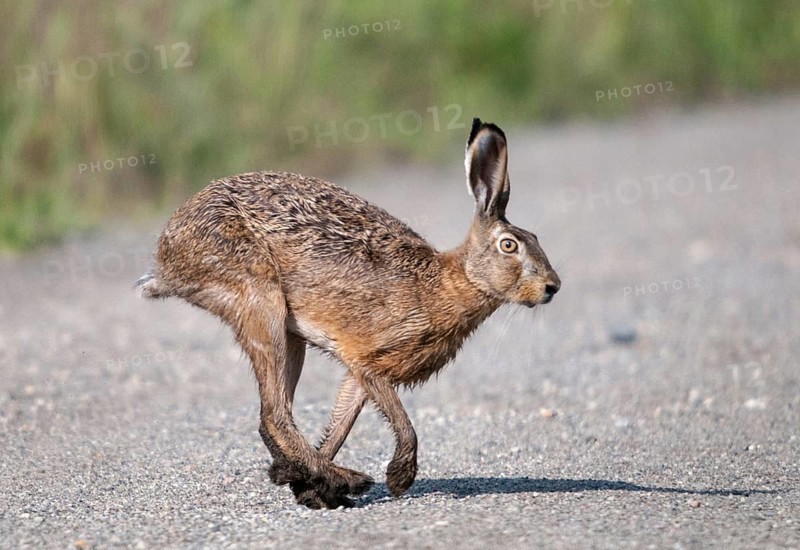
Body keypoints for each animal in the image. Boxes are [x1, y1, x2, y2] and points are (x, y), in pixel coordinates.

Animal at [136, 118, 561, 509]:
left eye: (537, 240)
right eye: (509, 246)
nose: (552, 288)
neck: (454, 280)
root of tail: (168, 256)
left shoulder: (360, 371)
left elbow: (341, 422)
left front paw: (308, 489)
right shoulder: (372, 362)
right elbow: (405, 425)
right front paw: (397, 479)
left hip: (285, 332)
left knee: (272, 413)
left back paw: (311, 476)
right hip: (259, 300)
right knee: (274, 413)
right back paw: (350, 480)